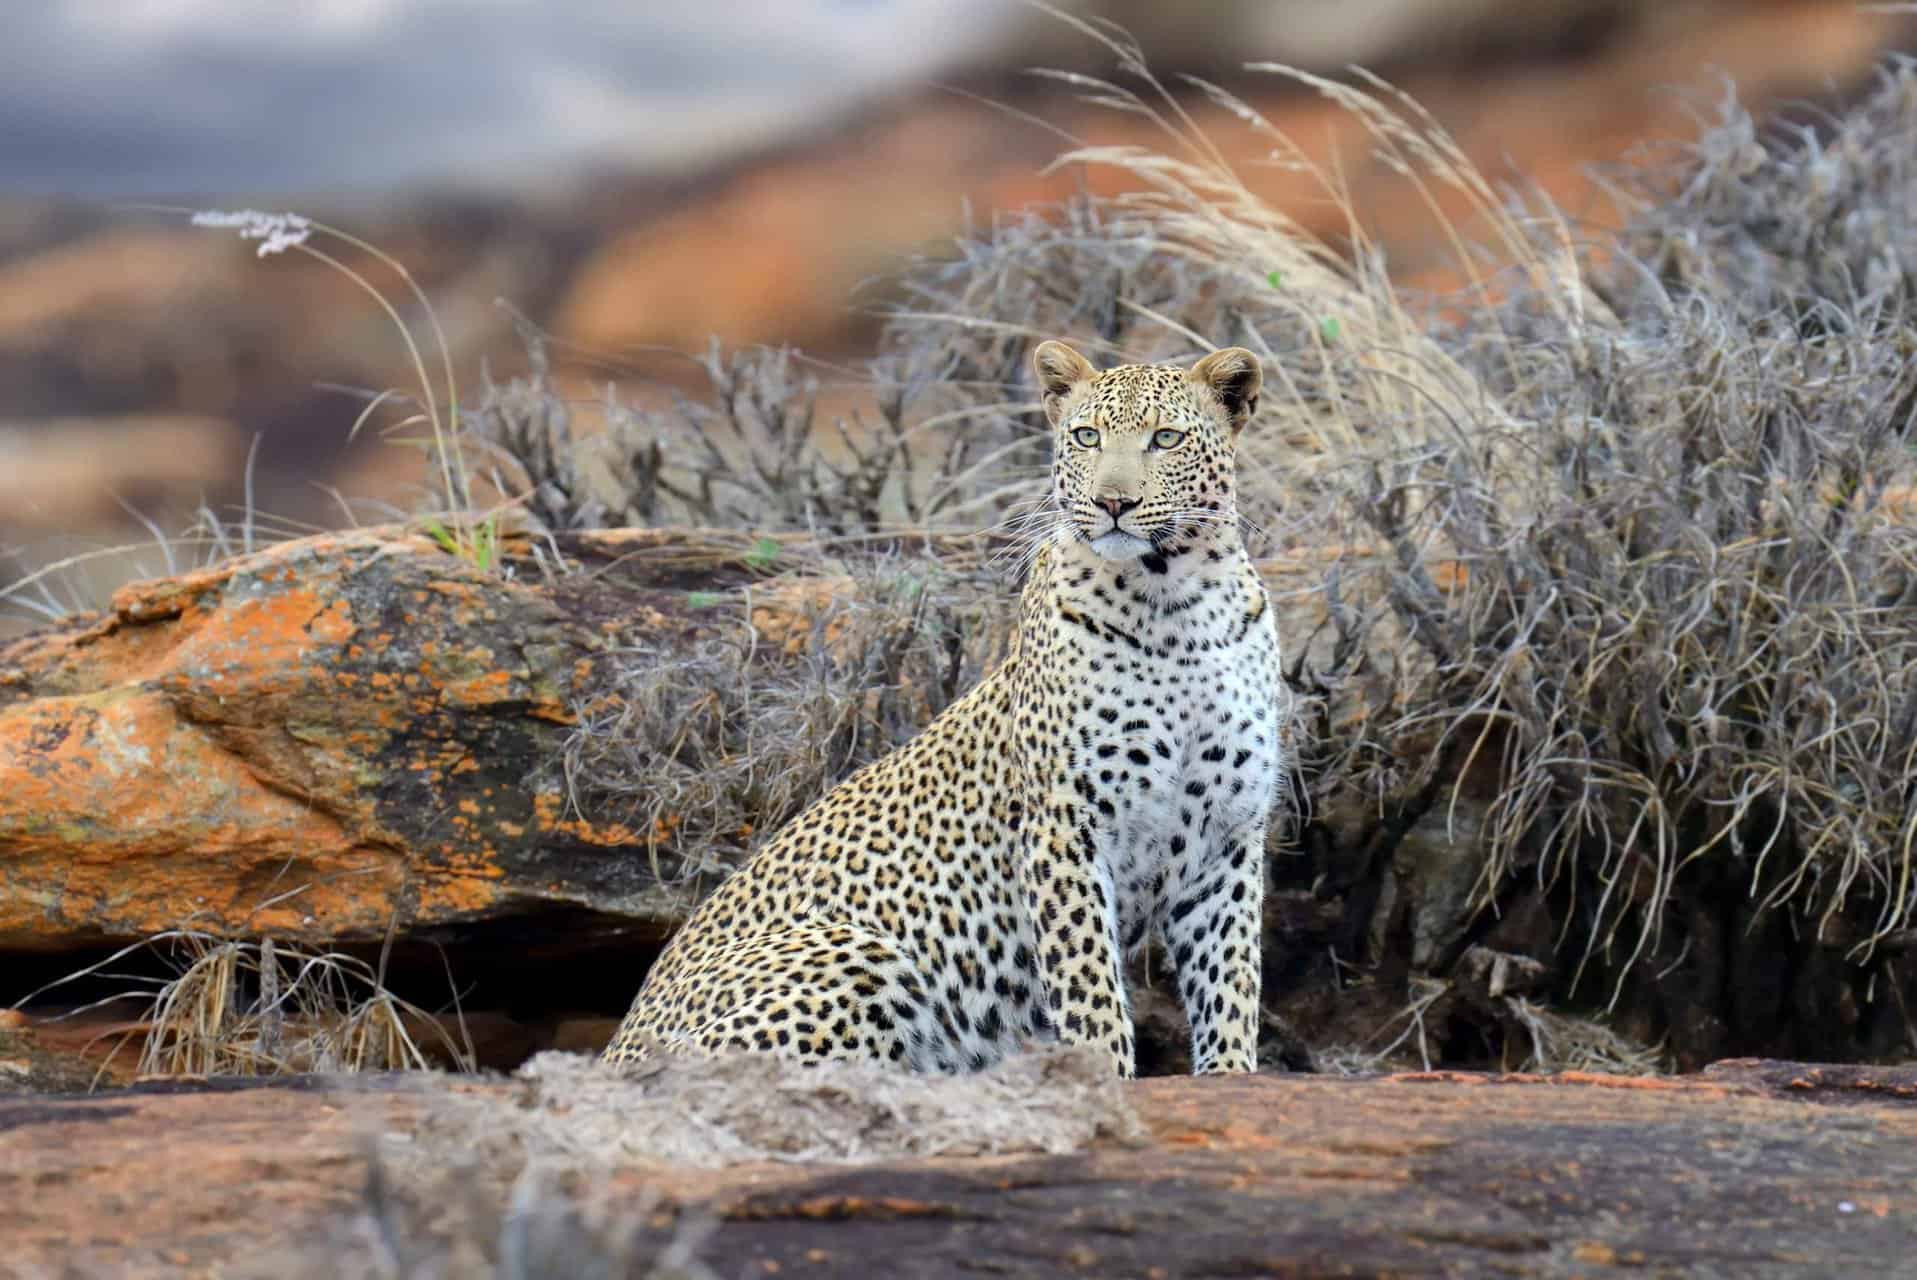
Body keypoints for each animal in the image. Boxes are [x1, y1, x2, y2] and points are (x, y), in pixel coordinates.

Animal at [601, 339, 1291, 1078]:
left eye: (1166, 439)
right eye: (1086, 437)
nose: (1112, 502)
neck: (1177, 606)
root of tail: (616, 1044)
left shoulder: (1228, 835)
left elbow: (1231, 980)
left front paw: (1229, 1076)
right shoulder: (1063, 823)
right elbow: (1088, 985)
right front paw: (1101, 1077)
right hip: (858, 954)